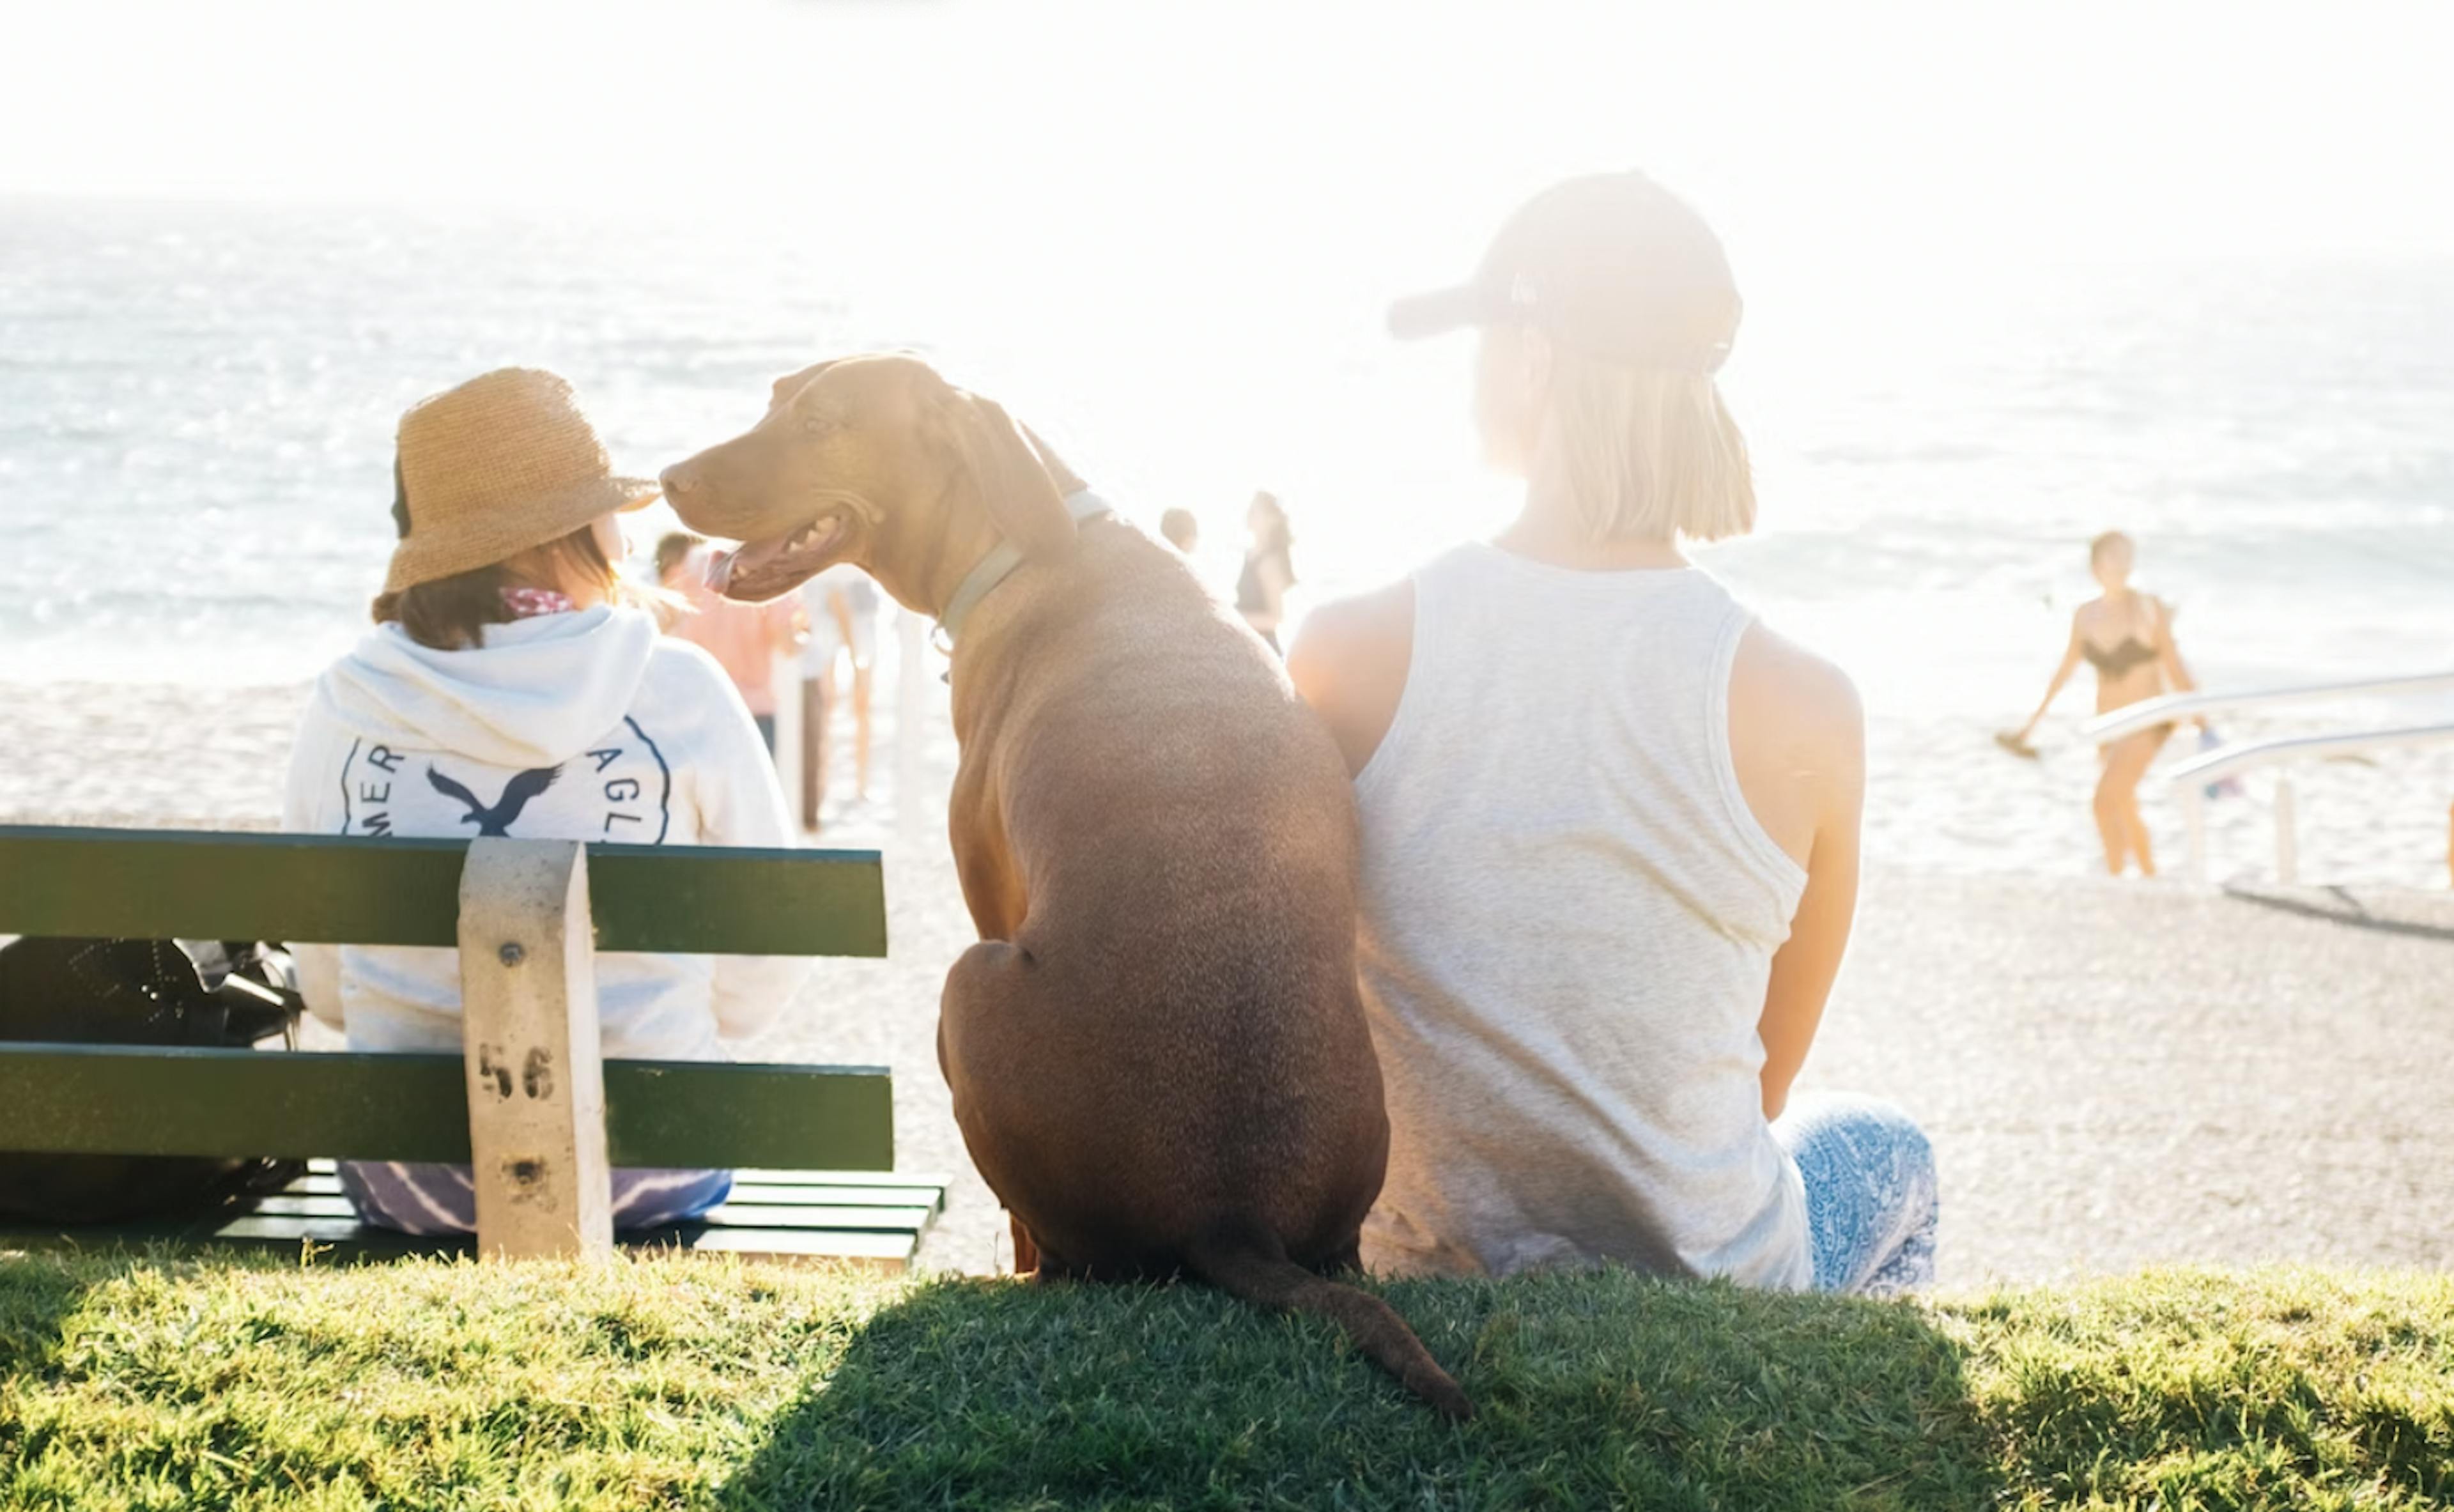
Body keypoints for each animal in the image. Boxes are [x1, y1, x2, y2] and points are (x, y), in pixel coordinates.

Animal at [662, 353, 1462, 1414]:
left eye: (823, 422)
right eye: (772, 400)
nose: (666, 477)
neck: (1029, 539)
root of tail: (1232, 1212)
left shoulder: (988, 892)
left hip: (967, 984)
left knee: (1052, 1249)